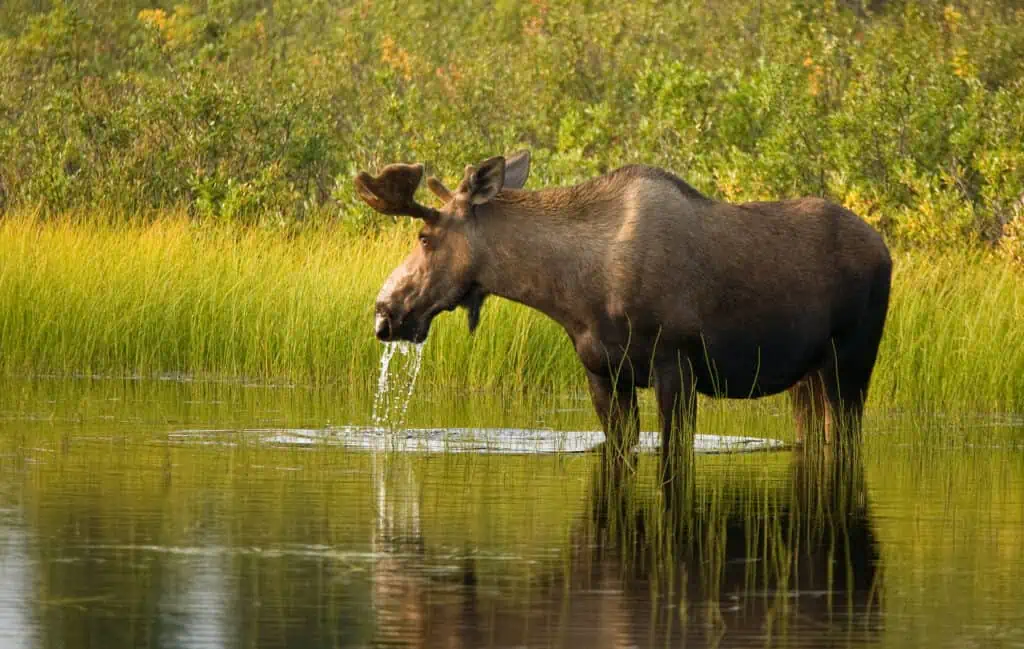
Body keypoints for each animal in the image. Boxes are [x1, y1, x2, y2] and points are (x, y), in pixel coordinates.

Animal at [356, 150, 892, 485]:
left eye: (424, 237)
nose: (386, 313)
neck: (570, 290)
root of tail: (886, 251)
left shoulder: (677, 363)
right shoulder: (602, 371)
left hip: (852, 361)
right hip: (809, 376)